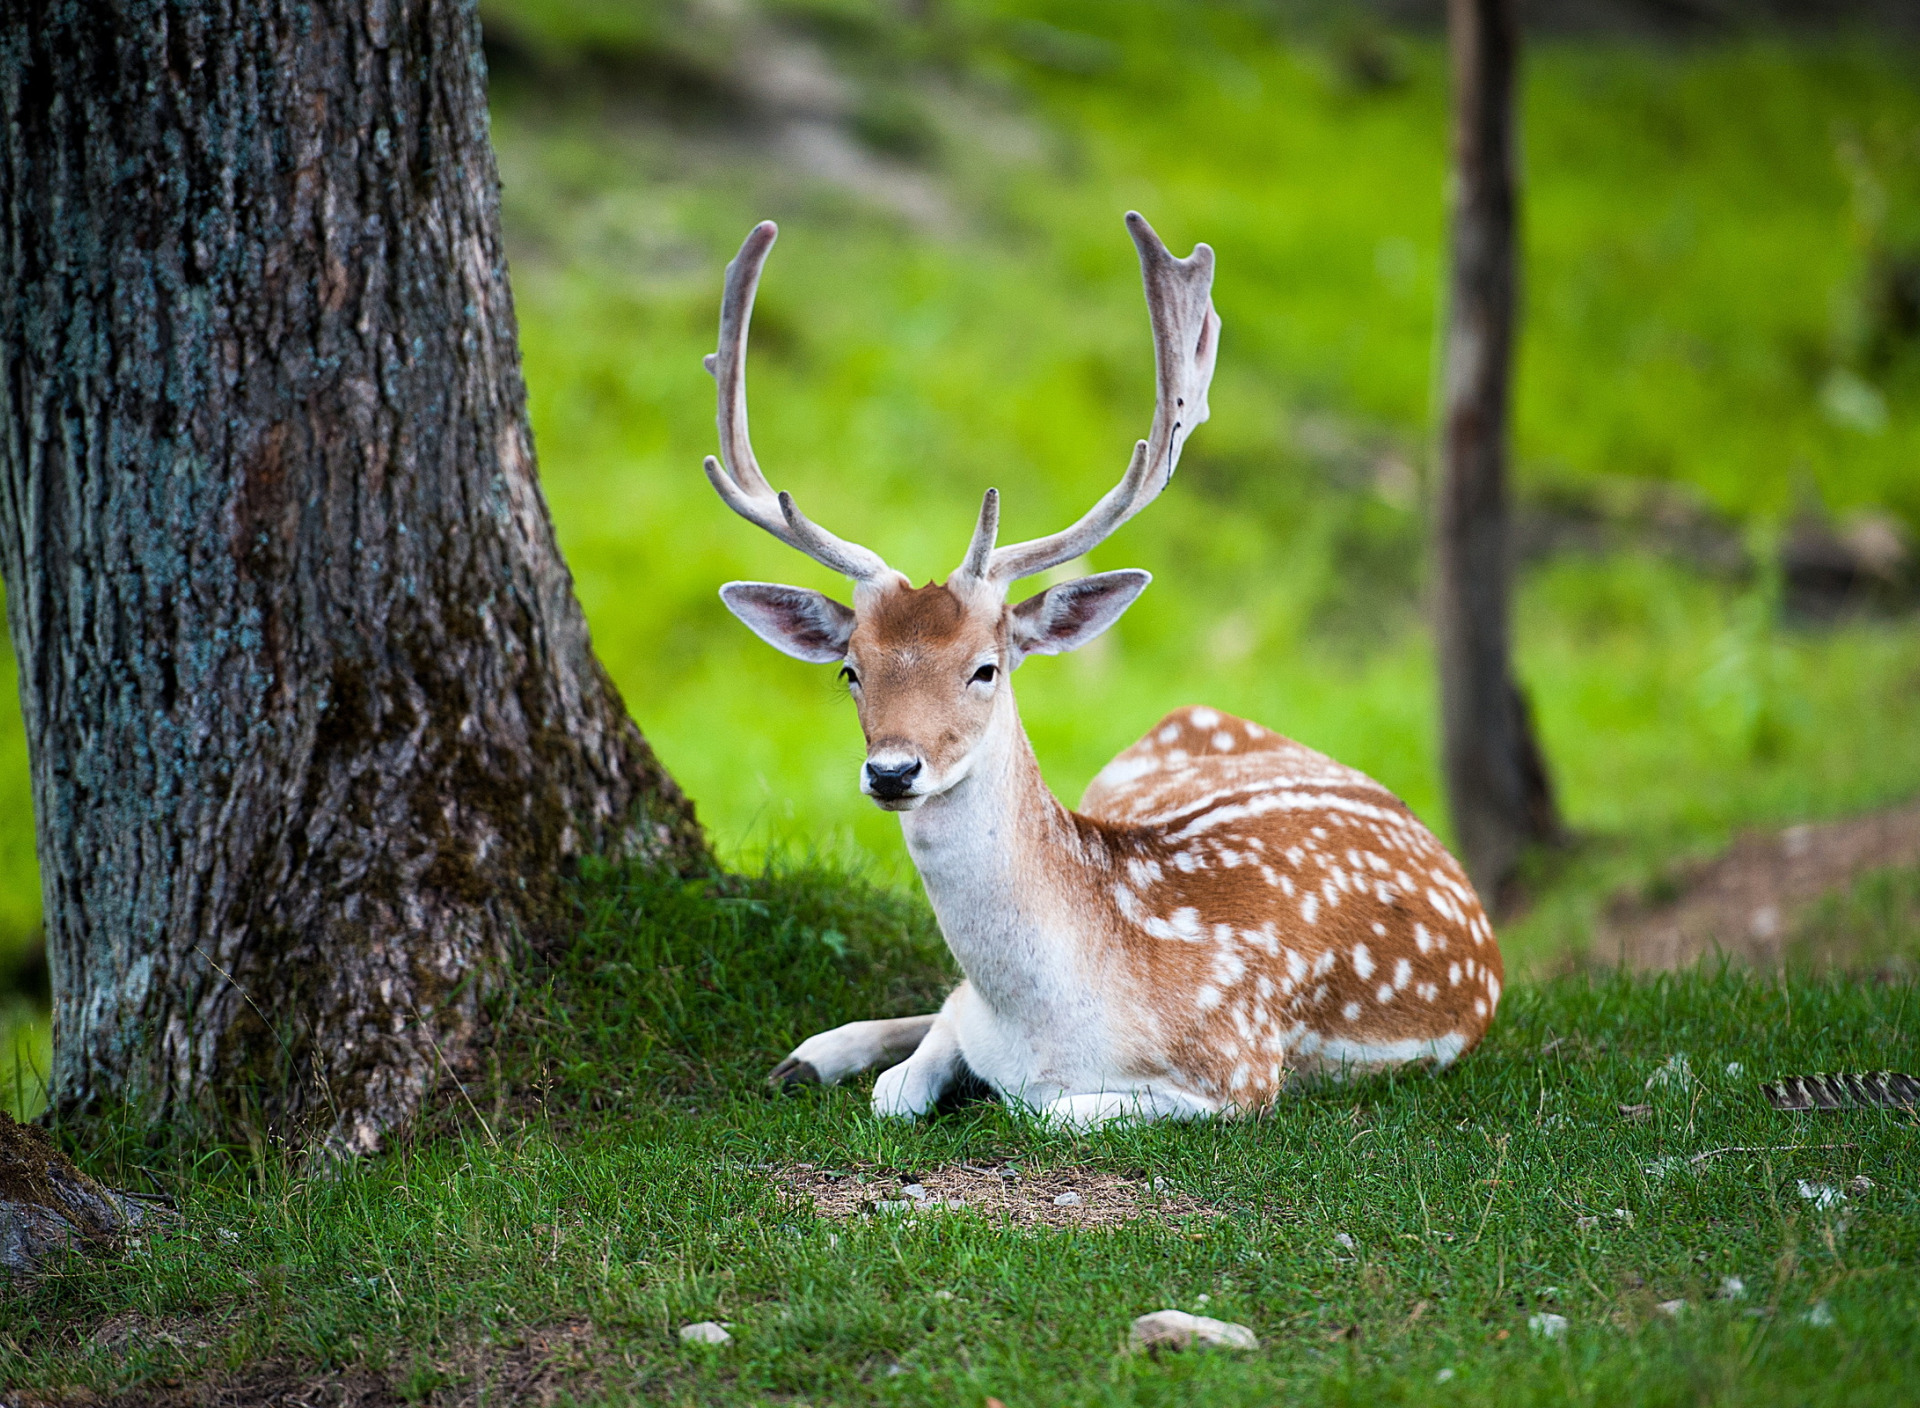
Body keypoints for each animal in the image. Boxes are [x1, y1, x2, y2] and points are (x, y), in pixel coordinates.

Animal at [706, 214, 1497, 1129]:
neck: (1047, 1018)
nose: (894, 771)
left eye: (986, 669)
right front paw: (842, 1060)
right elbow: (903, 1082)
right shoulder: (972, 1015)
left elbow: (1040, 1109)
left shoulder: (1241, 1071)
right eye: (851, 671)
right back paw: (809, 1054)